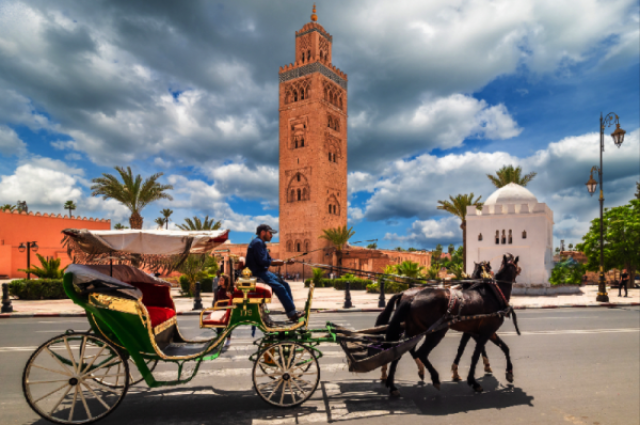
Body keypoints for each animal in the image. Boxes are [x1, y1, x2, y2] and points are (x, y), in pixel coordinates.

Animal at [378, 252, 524, 394]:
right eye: (489, 269)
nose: (520, 270)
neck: (494, 294)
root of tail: (410, 298)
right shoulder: (486, 331)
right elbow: (476, 354)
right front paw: (474, 380)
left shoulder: (477, 331)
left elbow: (501, 348)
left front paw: (508, 373)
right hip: (436, 332)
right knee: (420, 352)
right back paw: (433, 378)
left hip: (414, 329)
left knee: (400, 349)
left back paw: (392, 384)